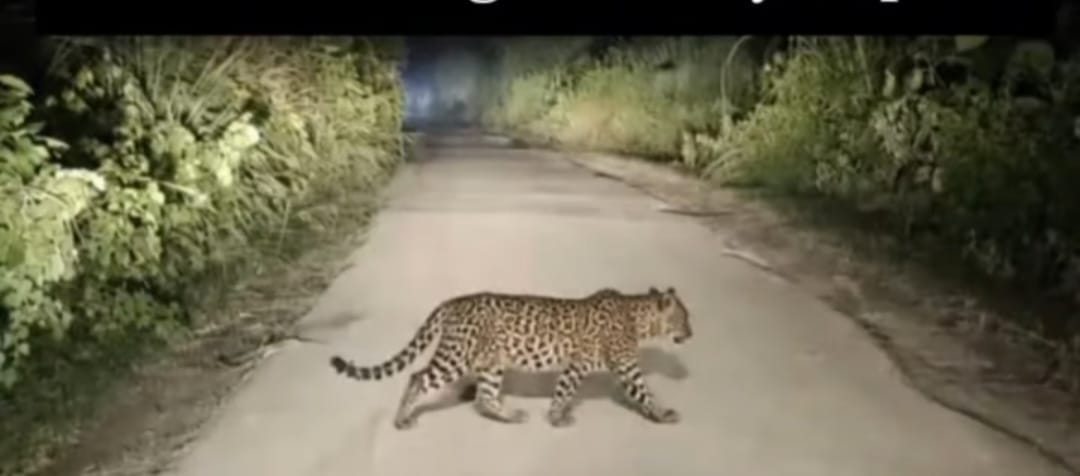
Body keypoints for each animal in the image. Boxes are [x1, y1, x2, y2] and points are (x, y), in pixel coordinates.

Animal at [329, 286, 692, 430]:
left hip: (492, 364)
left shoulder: (606, 367)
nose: (690, 333)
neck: (640, 319)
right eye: (684, 318)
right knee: (418, 377)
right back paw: (401, 419)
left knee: (485, 397)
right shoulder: (594, 367)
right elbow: (640, 392)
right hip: (457, 357)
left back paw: (511, 415)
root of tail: (451, 303)